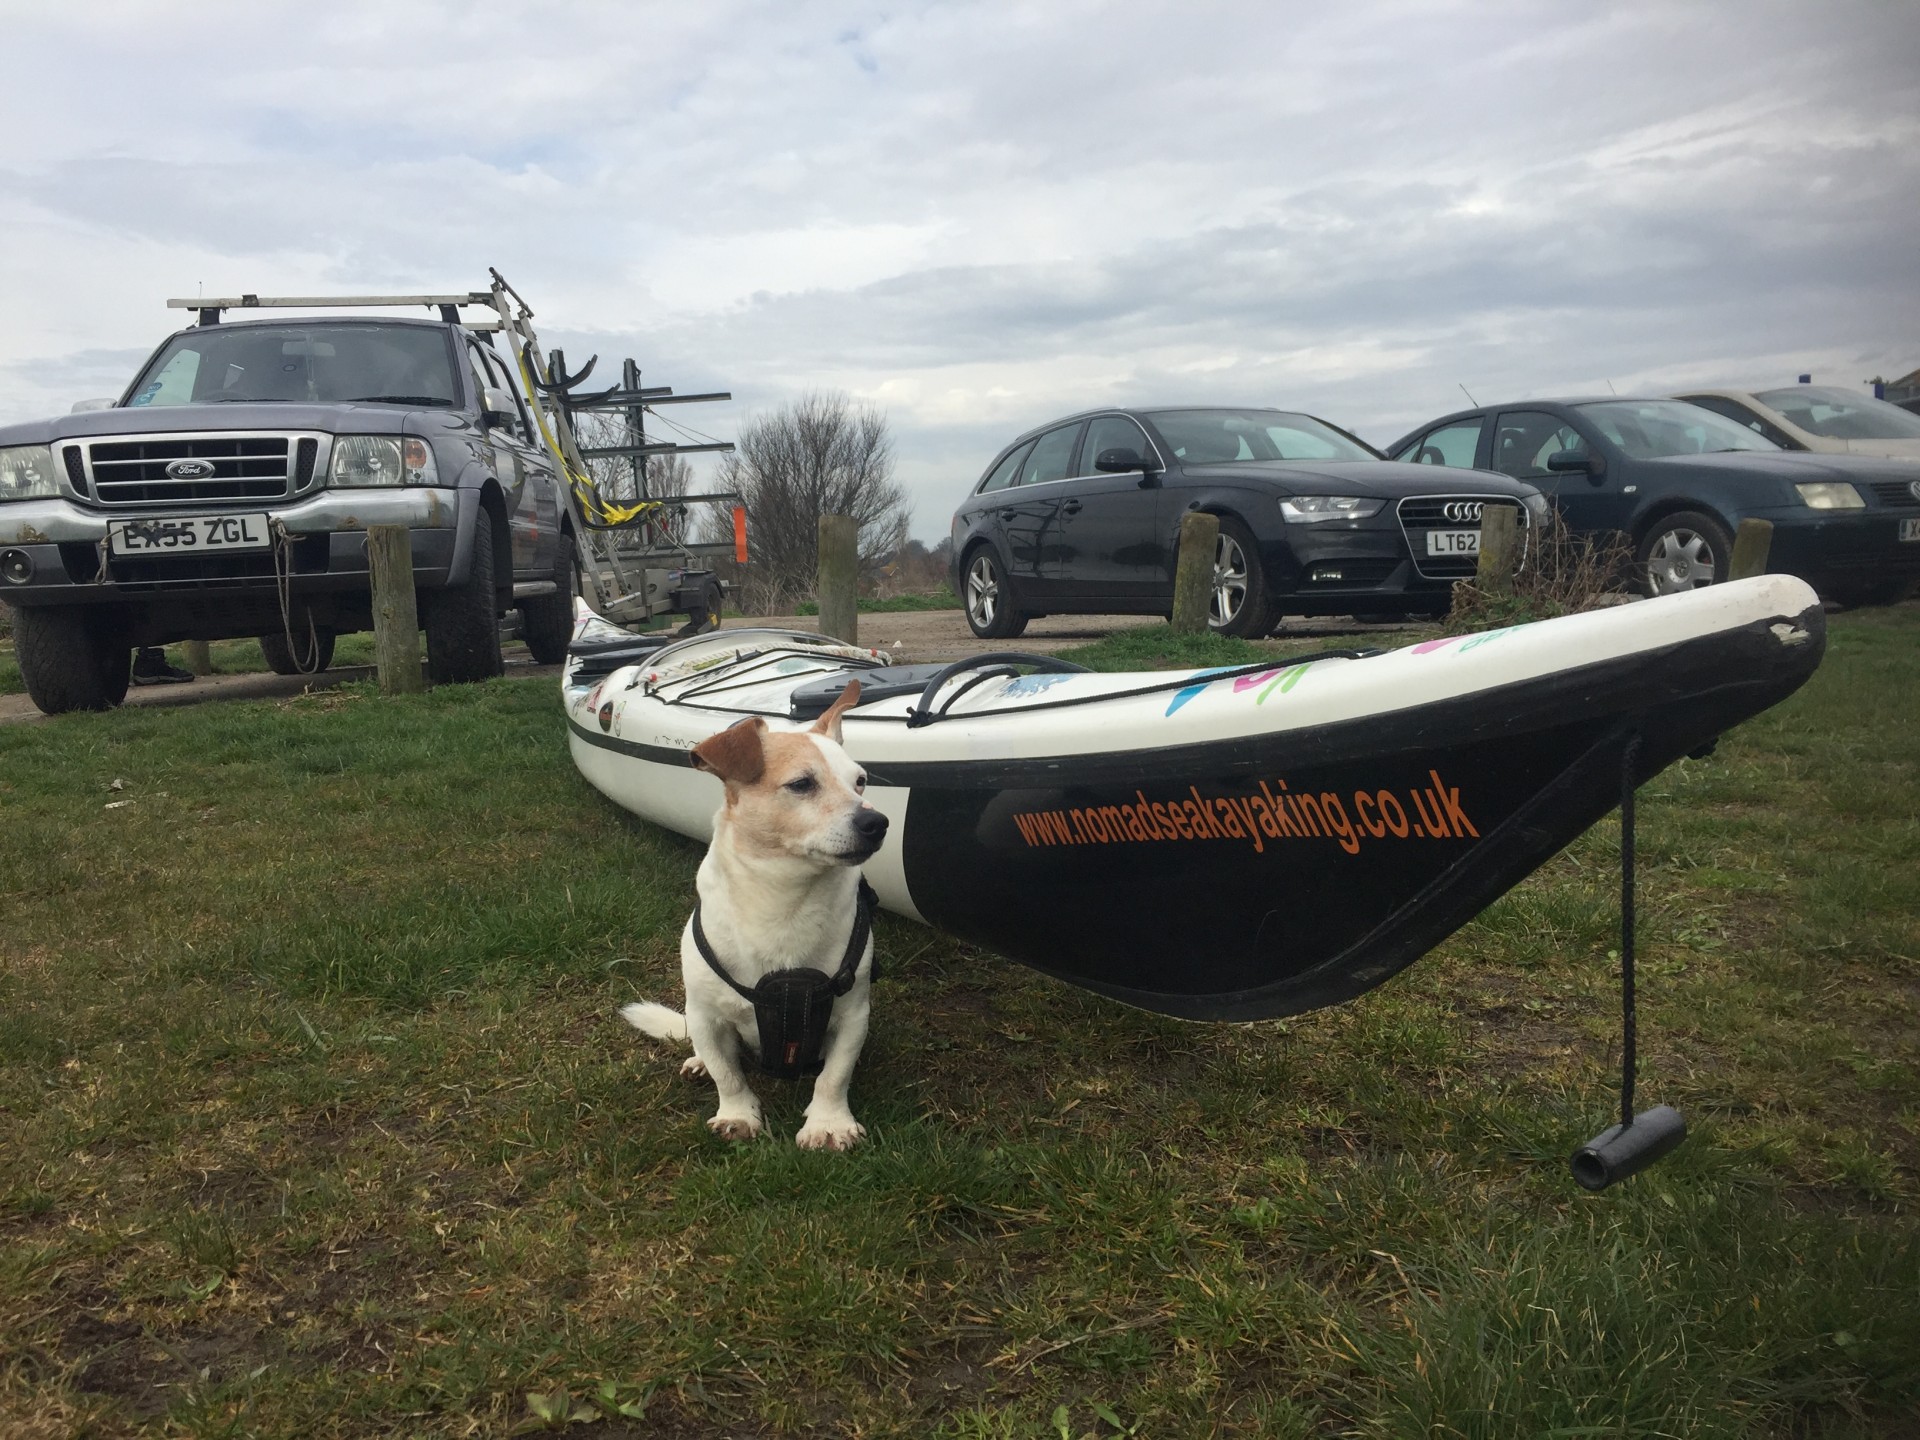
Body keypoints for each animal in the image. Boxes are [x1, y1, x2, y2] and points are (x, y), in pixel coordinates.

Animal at [618, 683, 887, 1159]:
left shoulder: (853, 1014)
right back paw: (697, 1062)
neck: (784, 900)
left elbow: (834, 1076)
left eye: (860, 781)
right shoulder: (706, 1016)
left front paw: (829, 1124)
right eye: (802, 784)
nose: (878, 821)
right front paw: (737, 1115)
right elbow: (727, 1073)